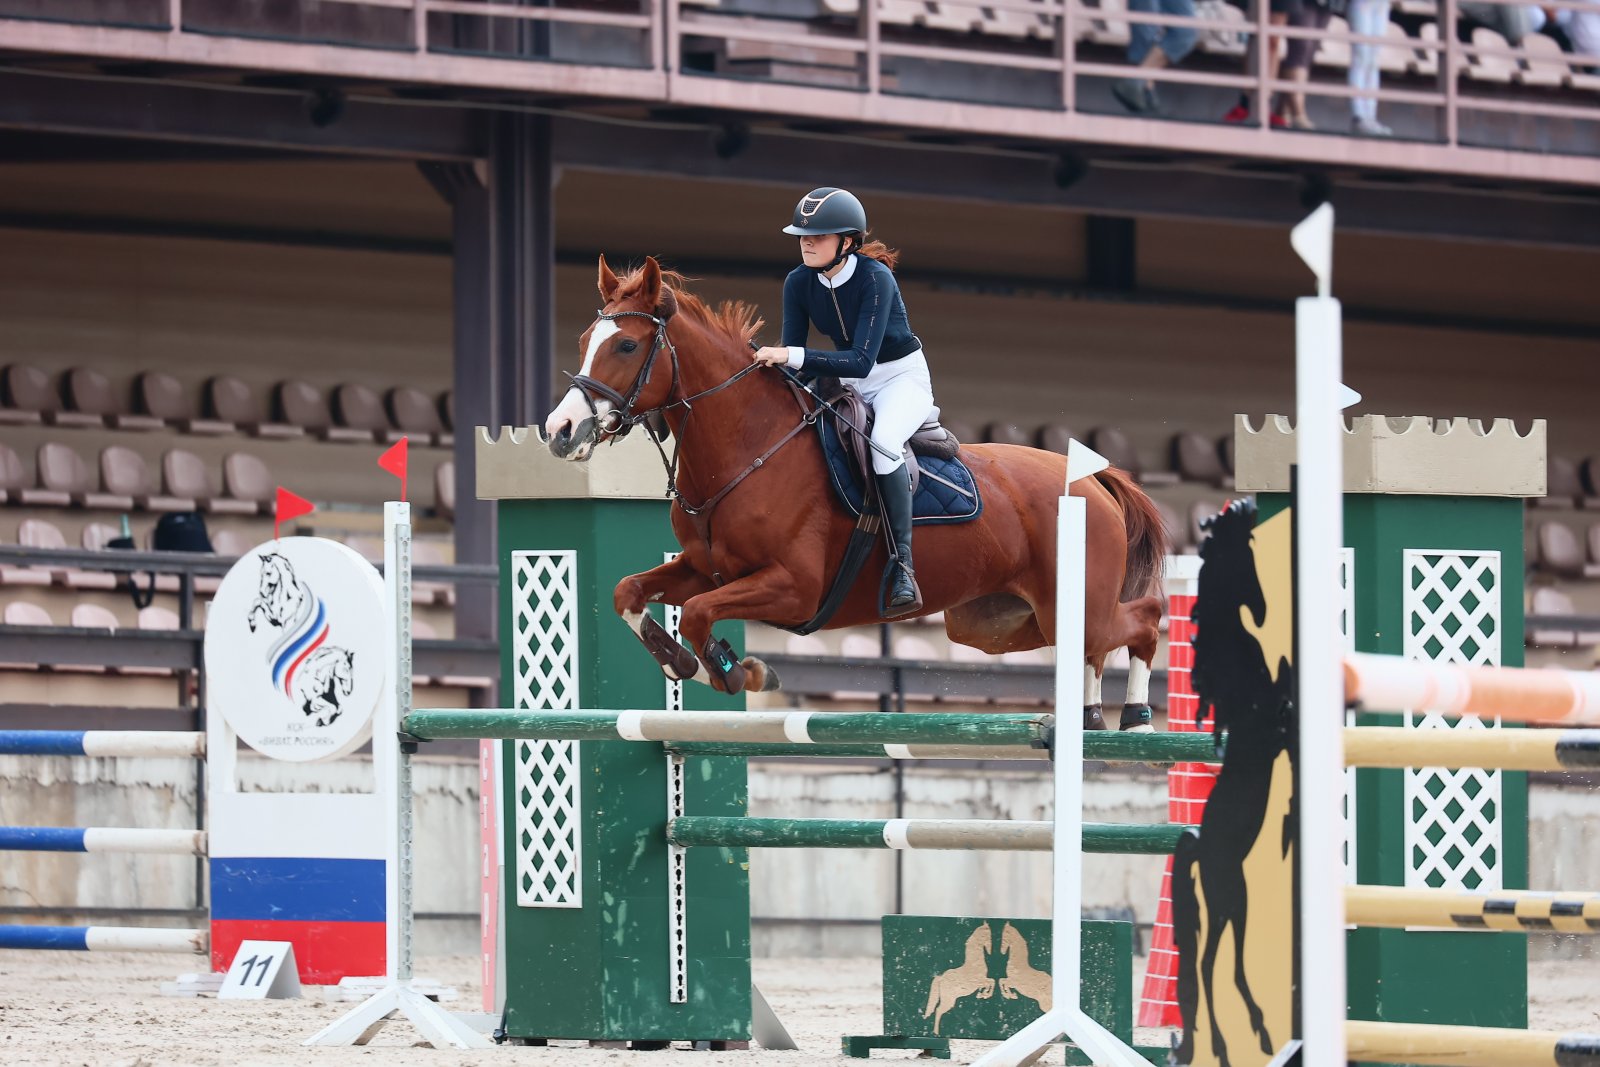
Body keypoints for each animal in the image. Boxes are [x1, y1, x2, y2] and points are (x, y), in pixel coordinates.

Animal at [542, 256, 1167, 728]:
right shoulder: (705, 569)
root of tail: (1092, 480)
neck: (750, 447)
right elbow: (628, 592)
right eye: (585, 340)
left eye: (625, 347)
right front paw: (681, 662)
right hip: (998, 623)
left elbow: (696, 614)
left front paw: (736, 670)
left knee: (1143, 618)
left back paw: (1135, 715)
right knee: (1094, 646)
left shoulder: (792, 589)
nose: (559, 431)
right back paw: (1090, 716)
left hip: (1071, 604)